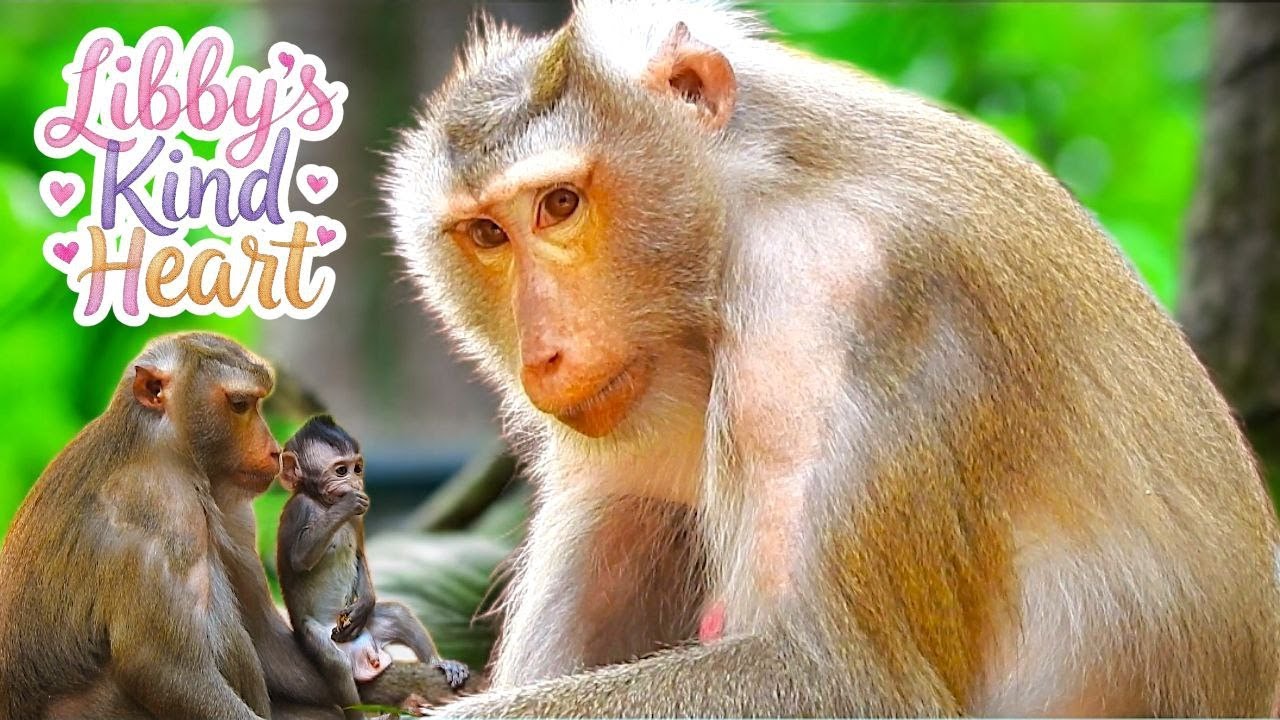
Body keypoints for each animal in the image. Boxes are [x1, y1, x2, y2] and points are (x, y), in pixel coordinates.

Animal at [0, 332, 281, 720]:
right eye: (240, 404)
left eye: (256, 403)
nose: (275, 451)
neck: (162, 446)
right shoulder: (160, 507)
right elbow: (158, 667)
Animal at [277, 415, 469, 719]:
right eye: (341, 471)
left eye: (357, 468)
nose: (356, 482)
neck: (322, 503)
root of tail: (367, 653)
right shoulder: (299, 509)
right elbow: (299, 559)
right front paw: (346, 504)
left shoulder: (357, 522)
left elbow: (359, 556)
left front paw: (365, 601)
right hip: (319, 637)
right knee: (335, 664)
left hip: (369, 629)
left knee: (398, 613)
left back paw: (439, 663)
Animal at [384, 1, 1280, 716]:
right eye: (488, 233)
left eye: (561, 204)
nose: (544, 354)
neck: (751, 195)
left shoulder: (822, 311)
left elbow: (845, 684)